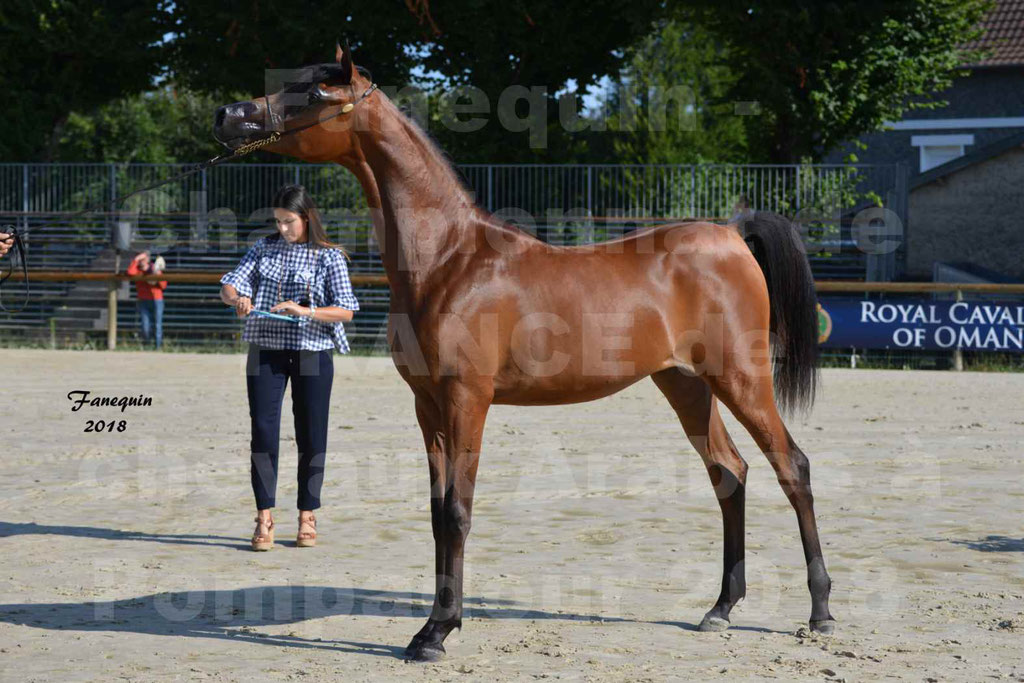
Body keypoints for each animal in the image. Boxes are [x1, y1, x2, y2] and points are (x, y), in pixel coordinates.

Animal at [214, 44, 831, 663]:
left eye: (316, 93)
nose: (229, 116)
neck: (449, 260)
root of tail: (732, 235)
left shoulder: (467, 399)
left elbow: (458, 511)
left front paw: (436, 633)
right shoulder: (427, 406)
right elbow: (437, 513)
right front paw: (436, 624)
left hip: (741, 378)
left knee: (793, 467)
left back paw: (820, 612)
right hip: (686, 385)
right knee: (729, 474)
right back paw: (720, 609)